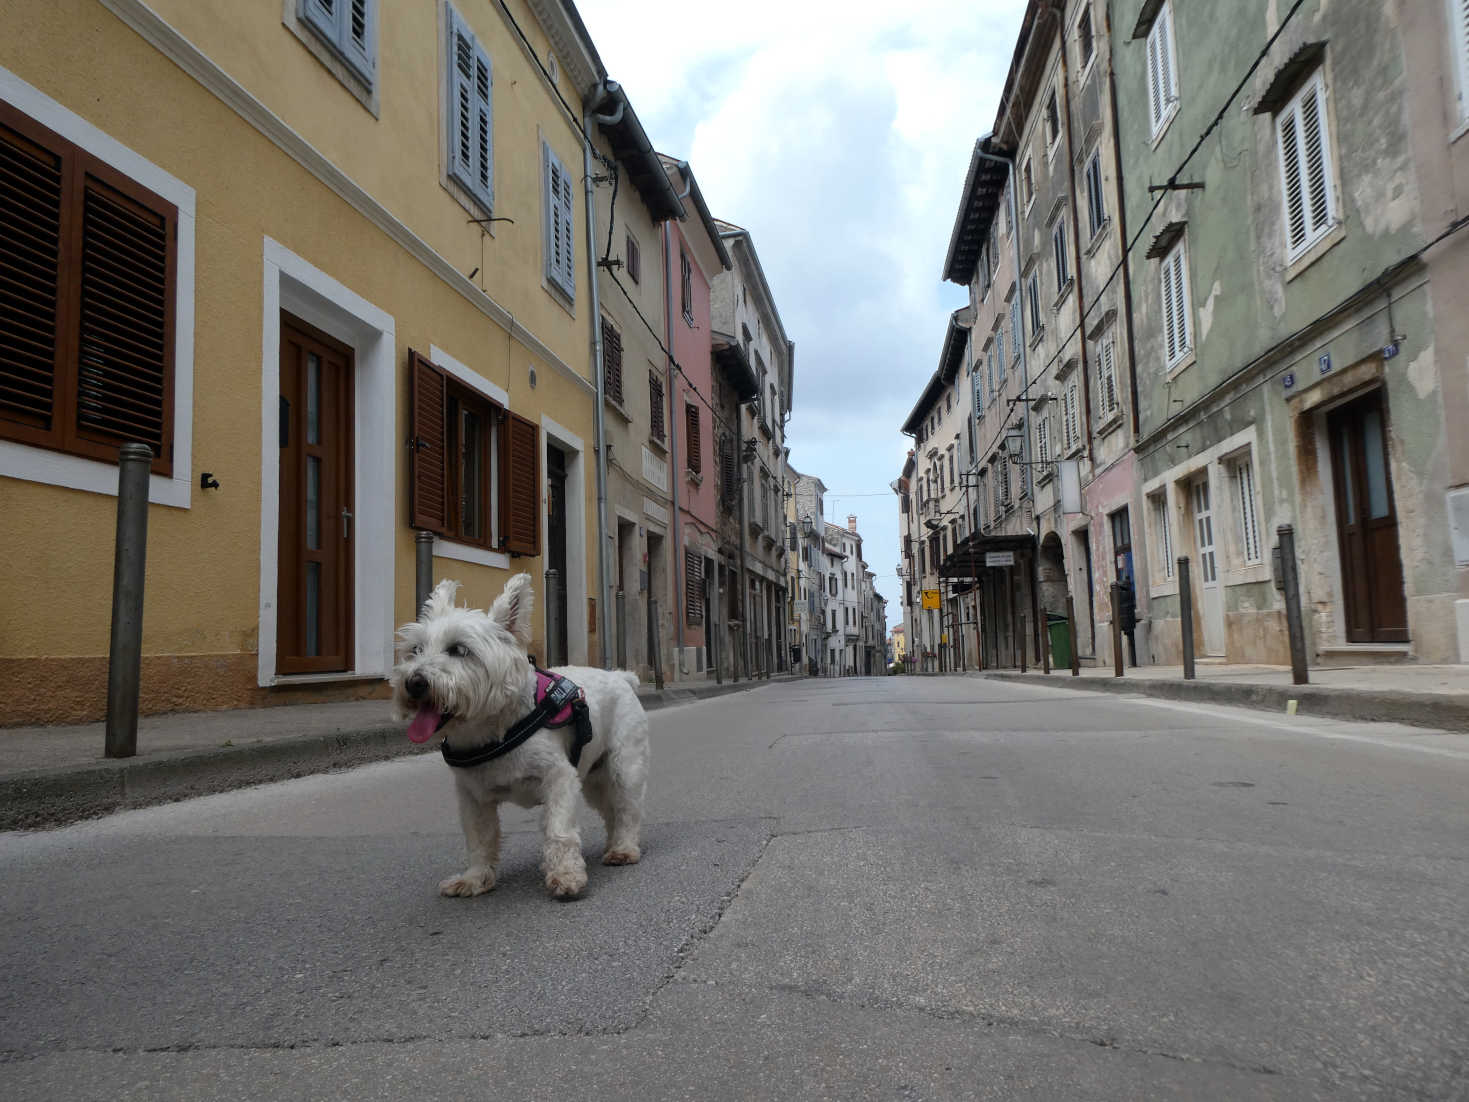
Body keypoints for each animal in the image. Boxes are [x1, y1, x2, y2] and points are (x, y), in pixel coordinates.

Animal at [390, 573, 649, 899]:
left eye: (459, 649)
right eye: (415, 650)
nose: (414, 683)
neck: (493, 729)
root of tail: (620, 676)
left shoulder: (560, 779)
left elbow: (559, 830)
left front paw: (566, 876)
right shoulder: (473, 797)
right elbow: (479, 839)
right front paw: (474, 879)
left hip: (623, 767)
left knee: (628, 807)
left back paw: (624, 848)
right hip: (594, 778)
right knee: (611, 809)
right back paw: (614, 845)